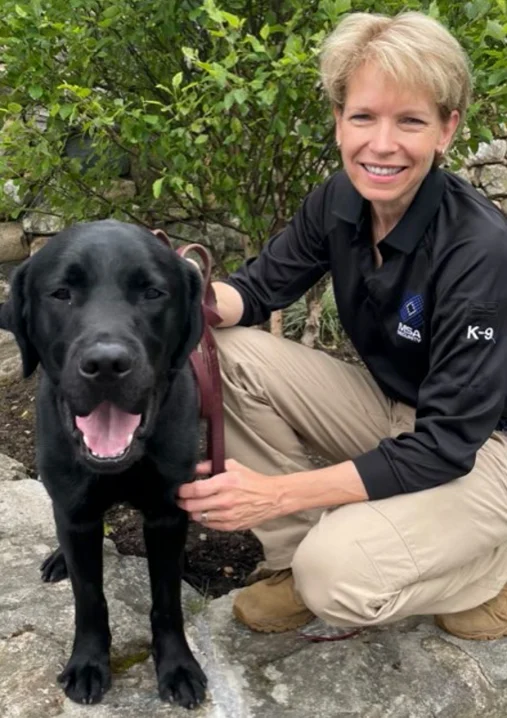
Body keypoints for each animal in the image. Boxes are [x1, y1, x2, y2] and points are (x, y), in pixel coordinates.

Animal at [0, 219, 207, 708]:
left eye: (152, 292)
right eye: (61, 293)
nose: (107, 363)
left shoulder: (167, 514)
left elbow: (167, 600)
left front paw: (178, 665)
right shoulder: (76, 515)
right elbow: (89, 596)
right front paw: (88, 663)